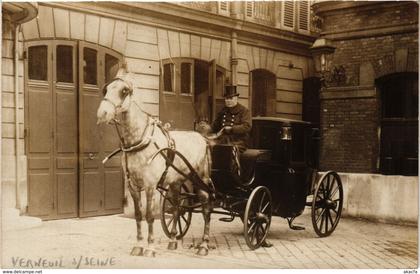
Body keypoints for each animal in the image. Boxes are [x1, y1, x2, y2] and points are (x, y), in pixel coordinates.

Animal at [97, 67, 213, 256]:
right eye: (106, 89)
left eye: (124, 91)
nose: (102, 114)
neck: (139, 142)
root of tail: (203, 138)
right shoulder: (133, 186)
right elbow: (138, 215)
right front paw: (138, 245)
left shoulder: (150, 185)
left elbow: (150, 216)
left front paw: (150, 247)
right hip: (176, 183)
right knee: (177, 208)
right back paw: (173, 240)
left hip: (201, 180)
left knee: (206, 209)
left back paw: (203, 245)